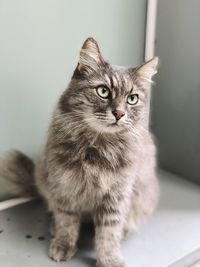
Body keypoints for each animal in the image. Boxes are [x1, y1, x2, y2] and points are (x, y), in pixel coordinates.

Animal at [0, 37, 159, 267]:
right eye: (103, 91)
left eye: (132, 99)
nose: (119, 113)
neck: (98, 148)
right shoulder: (65, 187)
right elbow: (67, 223)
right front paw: (64, 245)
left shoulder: (116, 195)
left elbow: (108, 233)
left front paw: (109, 259)